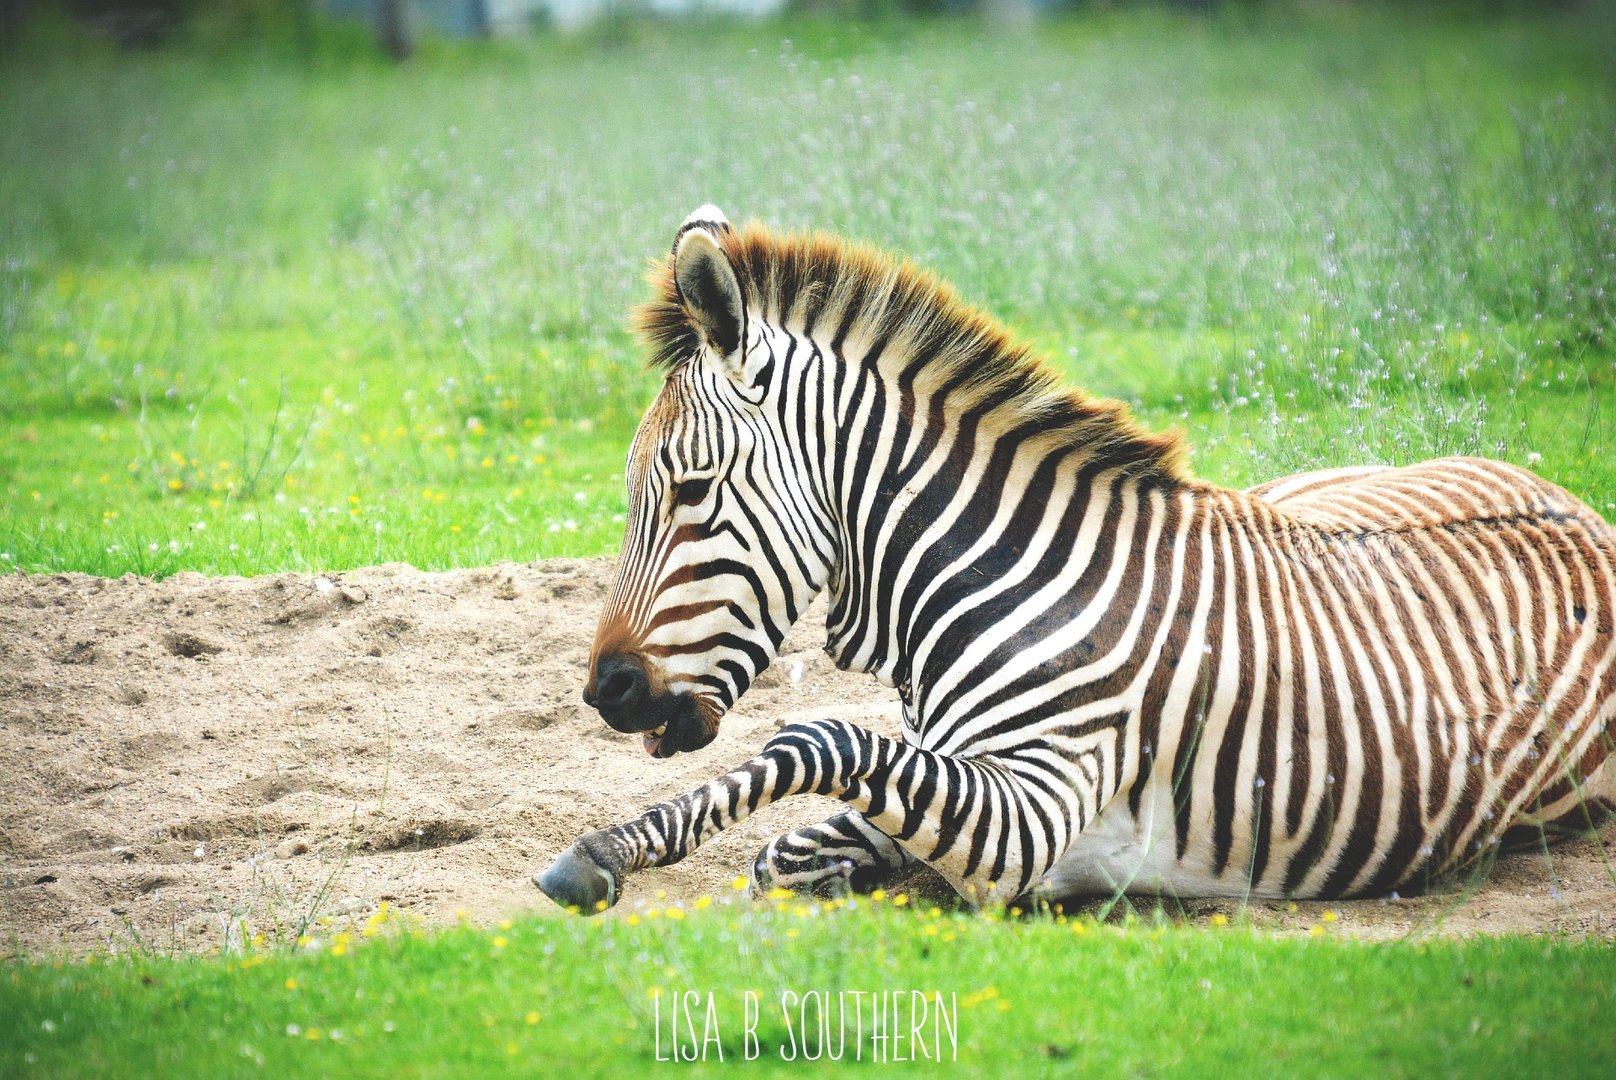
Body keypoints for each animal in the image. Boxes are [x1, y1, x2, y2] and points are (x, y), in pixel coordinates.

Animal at [535, 205, 1616, 913]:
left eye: (689, 491)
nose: (606, 693)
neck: (996, 591)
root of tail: (1572, 507)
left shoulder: (1026, 818)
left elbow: (812, 741)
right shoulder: (936, 777)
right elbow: (788, 841)